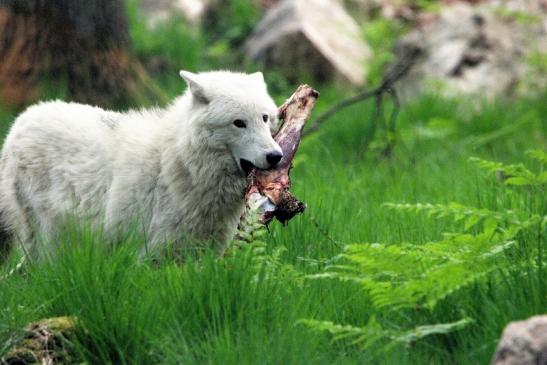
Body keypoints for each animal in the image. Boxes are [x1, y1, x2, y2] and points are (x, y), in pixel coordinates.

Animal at [0, 68, 282, 256]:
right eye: (239, 123)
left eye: (264, 118)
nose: (276, 156)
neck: (178, 163)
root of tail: (21, 120)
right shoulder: (151, 254)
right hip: (47, 240)